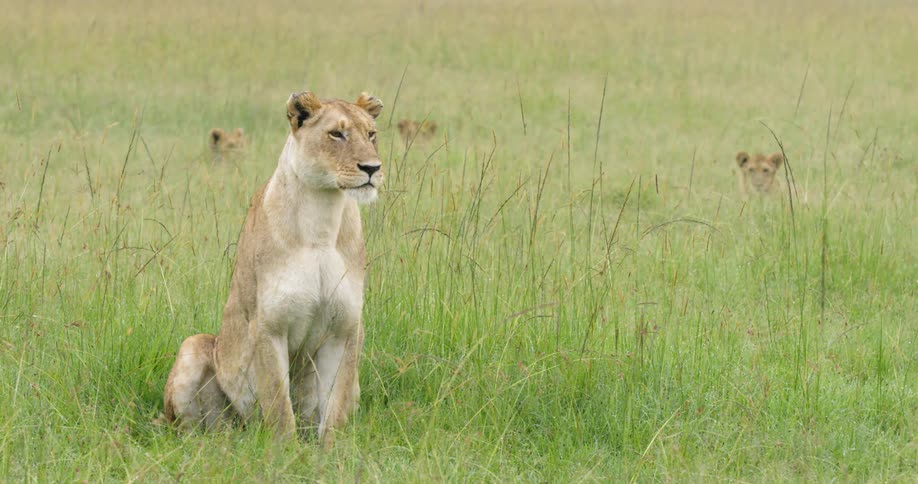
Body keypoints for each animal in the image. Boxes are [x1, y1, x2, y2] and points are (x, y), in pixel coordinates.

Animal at [163, 91, 384, 446]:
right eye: (336, 134)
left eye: (371, 134)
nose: (372, 168)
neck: (322, 219)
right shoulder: (268, 326)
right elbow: (279, 404)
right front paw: (287, 452)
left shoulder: (346, 328)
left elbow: (334, 408)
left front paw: (332, 452)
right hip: (195, 347)